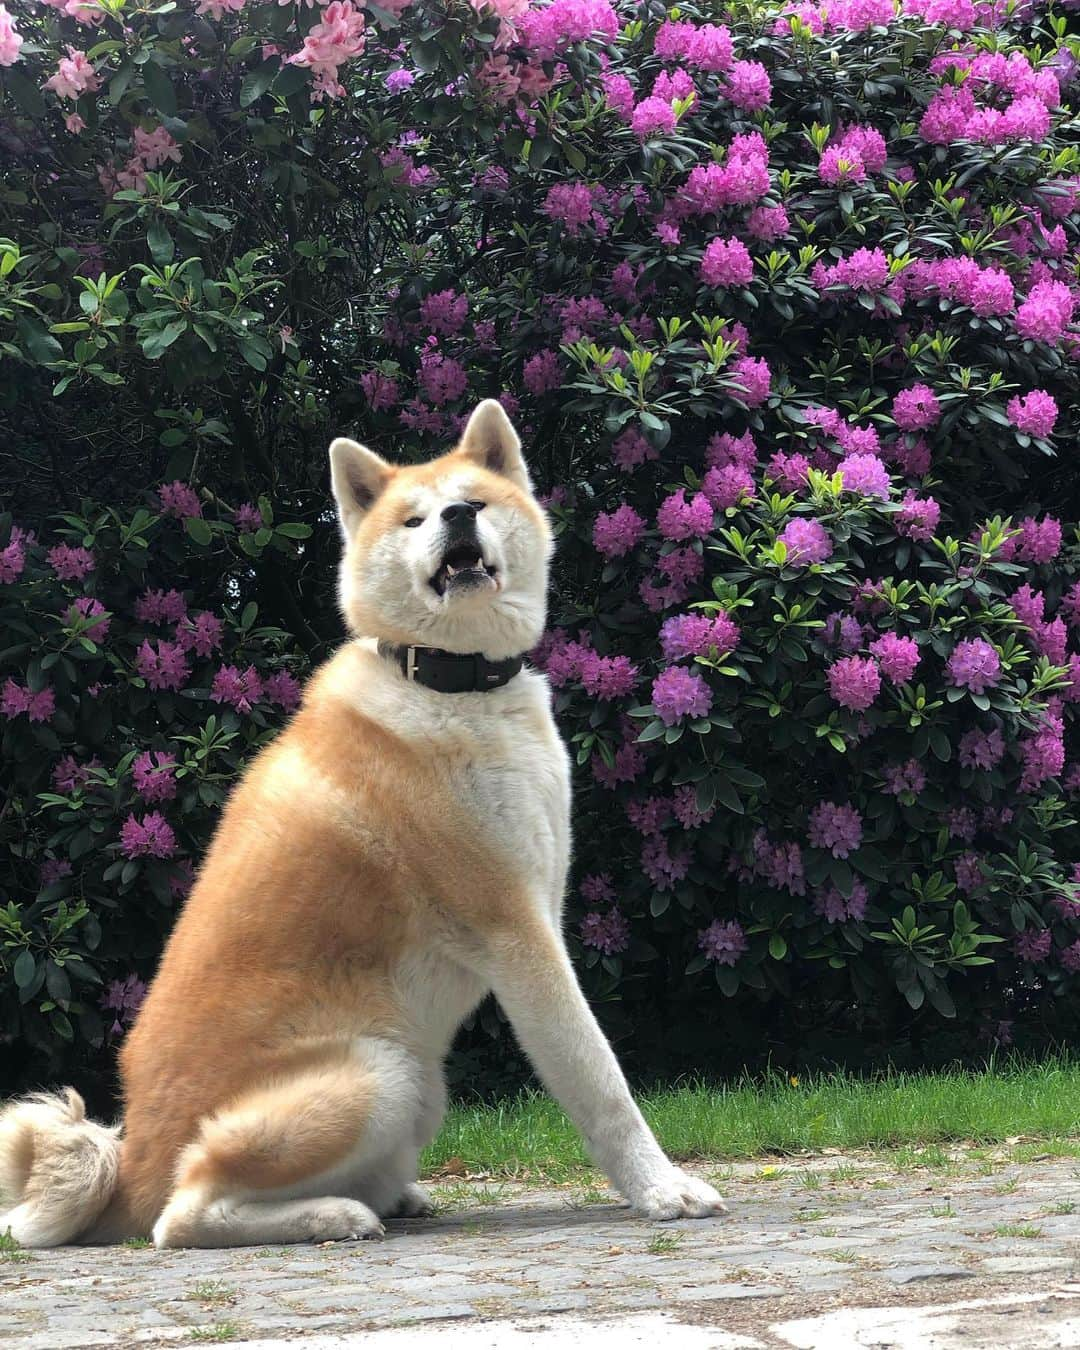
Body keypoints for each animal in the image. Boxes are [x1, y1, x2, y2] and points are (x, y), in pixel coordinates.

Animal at [2, 399, 723, 1242]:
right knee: (184, 1212)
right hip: (384, 1072)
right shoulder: (518, 933)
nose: (454, 517)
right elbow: (598, 1077)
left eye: (473, 501)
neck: (451, 689)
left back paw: (388, 1196)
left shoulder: (543, 906)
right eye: (413, 519)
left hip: (416, 1090)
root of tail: (130, 1167)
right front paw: (662, 1187)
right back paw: (334, 1214)